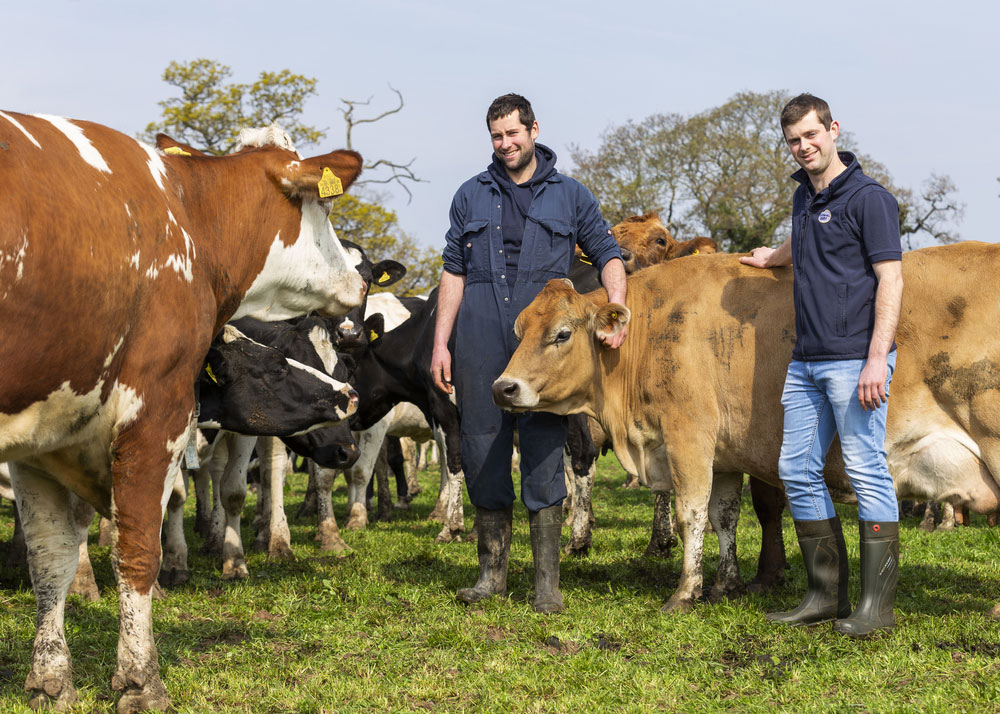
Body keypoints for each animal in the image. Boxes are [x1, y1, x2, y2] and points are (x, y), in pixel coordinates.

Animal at [0, 108, 368, 708]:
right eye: (326, 206)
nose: (358, 283)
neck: (188, 214)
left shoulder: (43, 437)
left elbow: (50, 559)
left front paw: (51, 683)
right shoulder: (155, 414)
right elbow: (136, 550)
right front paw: (140, 681)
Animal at [496, 243, 1000, 612]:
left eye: (562, 334)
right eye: (518, 331)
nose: (504, 387)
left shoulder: (687, 439)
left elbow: (691, 515)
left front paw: (685, 593)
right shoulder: (723, 456)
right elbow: (724, 517)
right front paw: (725, 584)